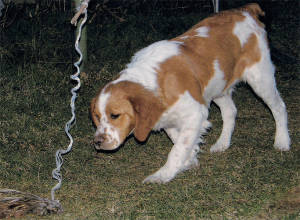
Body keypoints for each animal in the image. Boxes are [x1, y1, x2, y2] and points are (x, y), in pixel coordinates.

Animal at [89, 3, 290, 184]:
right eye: (97, 117)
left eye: (115, 115)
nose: (97, 142)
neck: (155, 83)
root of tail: (246, 10)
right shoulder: (168, 118)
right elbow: (178, 139)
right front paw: (190, 159)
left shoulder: (196, 113)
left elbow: (177, 148)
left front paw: (163, 174)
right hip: (219, 86)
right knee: (230, 111)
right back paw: (222, 143)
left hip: (260, 78)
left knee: (279, 106)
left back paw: (282, 141)